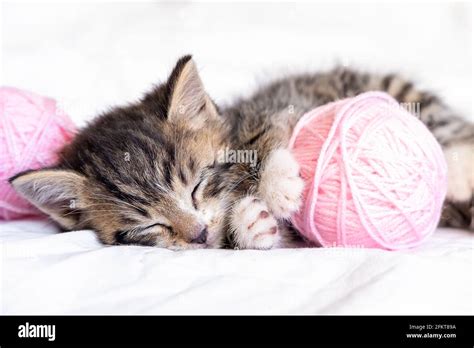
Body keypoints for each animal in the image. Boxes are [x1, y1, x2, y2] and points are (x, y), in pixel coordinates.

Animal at [9, 55, 472, 249]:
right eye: (148, 225)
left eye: (196, 186)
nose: (197, 235)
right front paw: (250, 225)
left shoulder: (275, 108)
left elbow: (264, 136)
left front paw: (278, 184)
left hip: (395, 89)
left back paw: (459, 170)